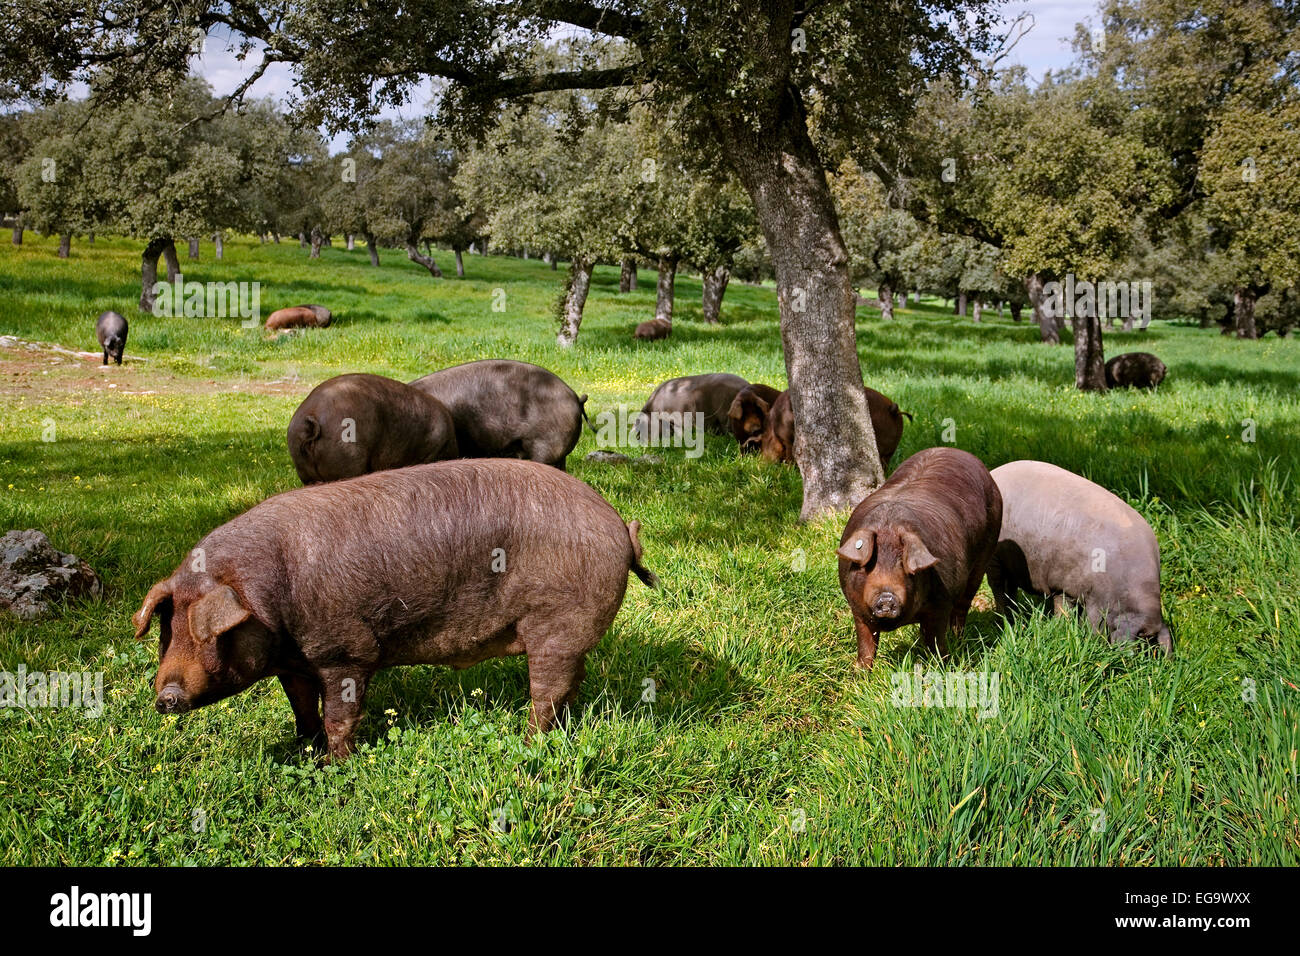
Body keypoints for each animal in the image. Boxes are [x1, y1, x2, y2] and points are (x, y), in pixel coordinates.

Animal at [133, 459, 657, 759]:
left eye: (207, 633)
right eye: (166, 629)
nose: (165, 698)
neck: (270, 604)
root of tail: (621, 529)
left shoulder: (346, 651)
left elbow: (339, 715)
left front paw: (336, 765)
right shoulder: (293, 663)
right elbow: (301, 707)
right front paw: (304, 749)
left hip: (556, 623)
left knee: (547, 691)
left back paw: (528, 746)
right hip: (569, 636)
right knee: (571, 684)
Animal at [836, 447, 1002, 670]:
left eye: (903, 565)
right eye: (868, 565)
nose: (886, 597)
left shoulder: (941, 604)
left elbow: (935, 642)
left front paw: (943, 666)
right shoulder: (857, 609)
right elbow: (866, 647)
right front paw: (860, 673)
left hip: (983, 558)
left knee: (962, 607)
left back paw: (957, 640)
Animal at [988, 460, 1173, 653]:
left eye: (1150, 645)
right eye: (1141, 643)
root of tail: (995, 471)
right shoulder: (1072, 590)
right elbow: (1079, 618)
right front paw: (1073, 634)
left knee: (1010, 588)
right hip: (994, 559)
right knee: (998, 587)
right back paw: (1005, 620)